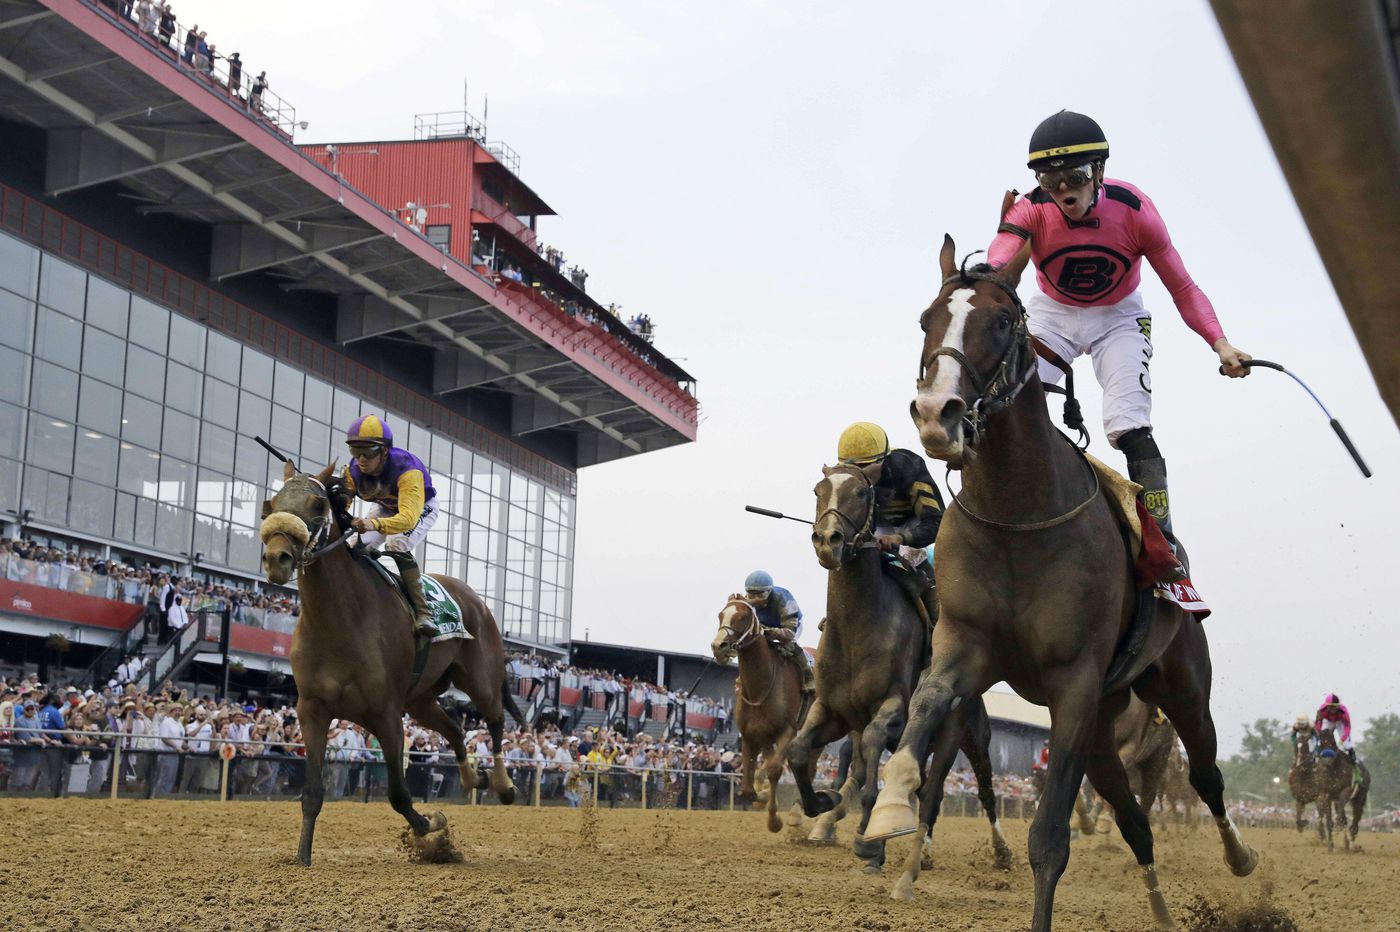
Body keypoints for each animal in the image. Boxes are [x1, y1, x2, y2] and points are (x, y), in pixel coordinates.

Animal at [260, 461, 523, 862]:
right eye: (272, 504)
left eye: (317, 505)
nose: (277, 558)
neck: (340, 622)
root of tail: (476, 600)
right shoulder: (312, 710)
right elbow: (313, 792)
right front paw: (302, 856)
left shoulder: (386, 714)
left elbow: (399, 793)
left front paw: (431, 826)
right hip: (420, 700)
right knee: (455, 729)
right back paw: (469, 776)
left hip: (480, 680)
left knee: (494, 721)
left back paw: (503, 784)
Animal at [862, 240, 1260, 929]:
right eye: (925, 320)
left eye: (1001, 321)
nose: (938, 413)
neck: (1019, 514)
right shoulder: (967, 648)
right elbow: (925, 709)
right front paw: (891, 808)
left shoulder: (1074, 681)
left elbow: (1049, 838)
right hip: (1103, 726)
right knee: (1133, 820)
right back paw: (1160, 909)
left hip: (1180, 687)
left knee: (1206, 776)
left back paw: (1239, 858)